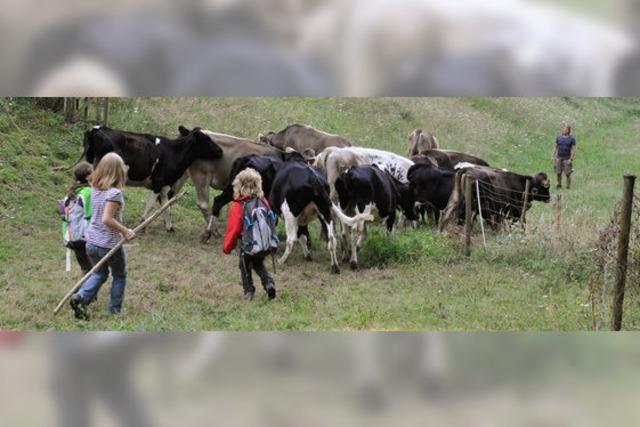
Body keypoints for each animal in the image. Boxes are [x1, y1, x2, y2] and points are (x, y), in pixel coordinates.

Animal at [81, 125, 224, 232]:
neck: (174, 152)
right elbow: (151, 204)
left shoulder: (165, 185)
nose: (220, 150)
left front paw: (169, 227)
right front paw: (142, 224)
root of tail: (96, 129)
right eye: (207, 139)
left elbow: (166, 206)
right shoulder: (158, 183)